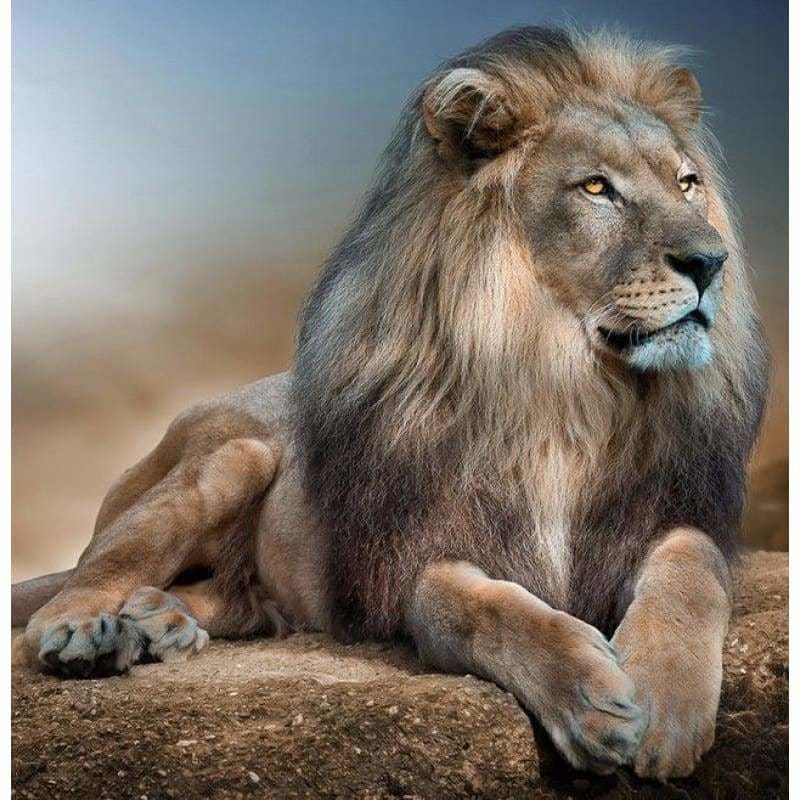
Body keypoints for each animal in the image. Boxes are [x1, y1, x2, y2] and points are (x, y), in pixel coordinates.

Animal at [13, 26, 768, 781]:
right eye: (596, 187)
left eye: (688, 183)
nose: (711, 262)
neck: (564, 391)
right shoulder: (417, 555)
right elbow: (478, 608)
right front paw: (589, 698)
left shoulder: (662, 511)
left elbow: (693, 565)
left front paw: (665, 705)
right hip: (235, 455)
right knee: (91, 570)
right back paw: (89, 632)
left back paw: (158, 622)